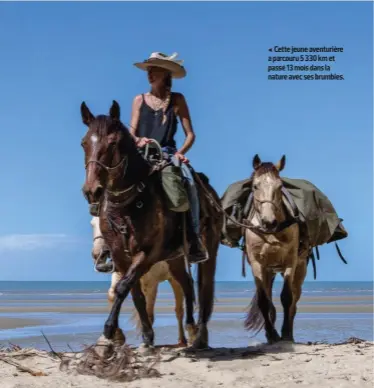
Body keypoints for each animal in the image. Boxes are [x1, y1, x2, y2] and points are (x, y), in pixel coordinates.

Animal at [90, 217, 193, 348]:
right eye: (92, 224)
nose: (97, 255)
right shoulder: (122, 274)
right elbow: (114, 294)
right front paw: (116, 336)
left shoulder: (151, 282)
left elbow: (148, 311)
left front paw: (147, 340)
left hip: (173, 279)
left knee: (179, 310)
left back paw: (183, 340)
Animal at [244, 154, 308, 342]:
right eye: (255, 186)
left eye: (280, 186)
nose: (269, 222)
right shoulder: (257, 265)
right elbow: (264, 301)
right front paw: (272, 335)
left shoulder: (290, 262)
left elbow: (287, 298)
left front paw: (285, 334)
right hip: (268, 272)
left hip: (300, 270)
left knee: (294, 301)